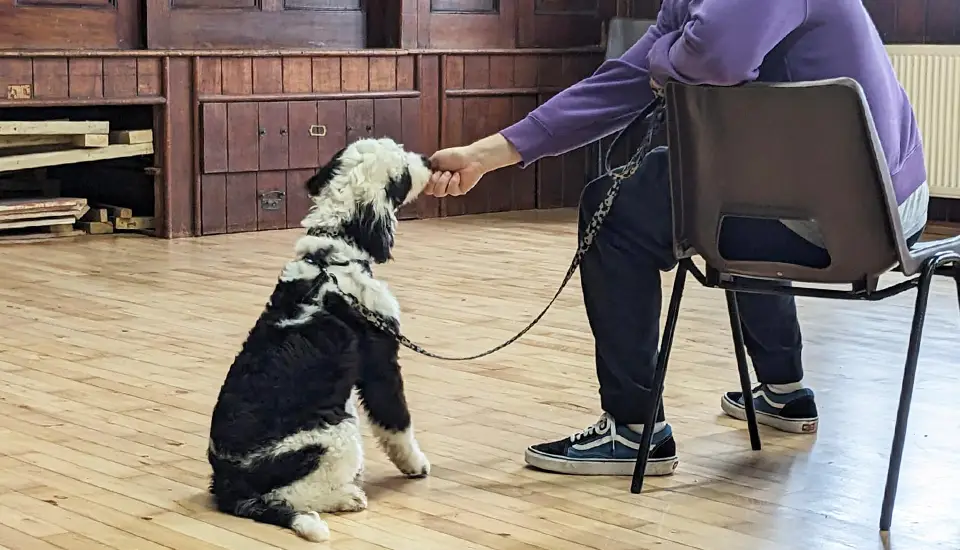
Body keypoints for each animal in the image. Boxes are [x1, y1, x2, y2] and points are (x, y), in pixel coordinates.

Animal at [210, 138, 436, 544]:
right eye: (403, 172)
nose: (427, 160)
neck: (333, 257)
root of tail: (227, 484)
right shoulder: (380, 363)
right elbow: (396, 422)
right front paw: (415, 464)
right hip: (337, 431)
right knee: (291, 495)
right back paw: (347, 497)